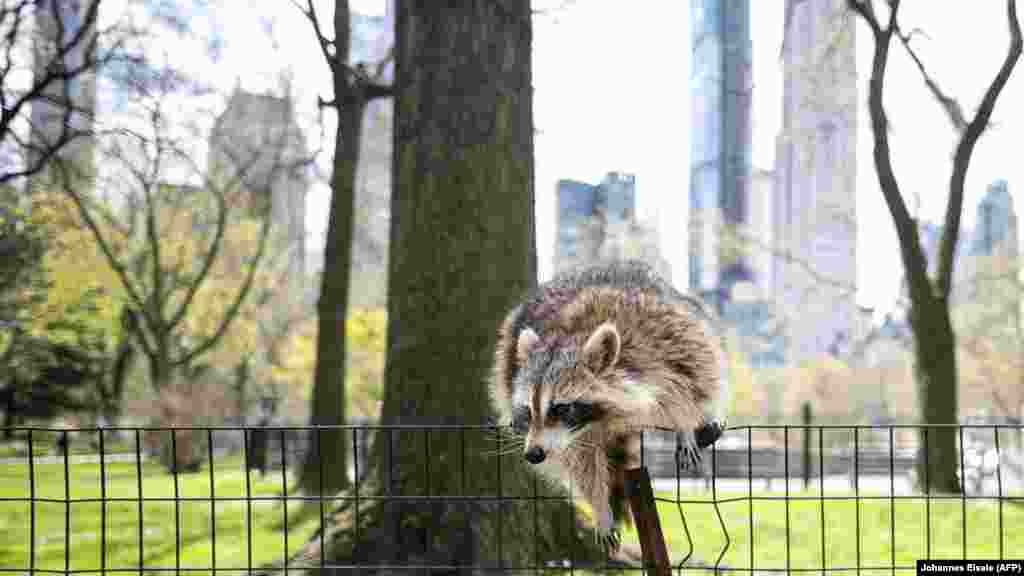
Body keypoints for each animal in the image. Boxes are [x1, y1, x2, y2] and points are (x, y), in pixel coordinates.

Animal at [489, 259, 724, 541]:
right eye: (527, 409)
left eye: (560, 408)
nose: (533, 454)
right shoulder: (573, 436)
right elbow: (580, 461)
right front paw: (599, 506)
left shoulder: (664, 338)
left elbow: (690, 377)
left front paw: (684, 422)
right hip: (507, 357)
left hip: (687, 312)